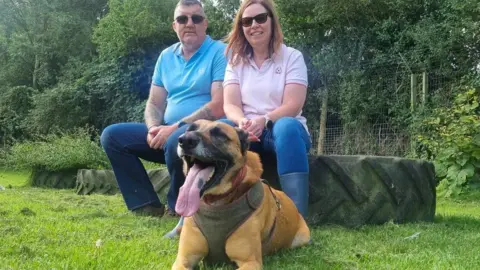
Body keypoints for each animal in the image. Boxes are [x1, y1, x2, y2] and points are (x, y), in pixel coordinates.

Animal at [172, 121, 312, 270]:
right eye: (190, 129)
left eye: (220, 134)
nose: (185, 140)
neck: (216, 202)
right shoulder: (183, 260)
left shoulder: (250, 262)